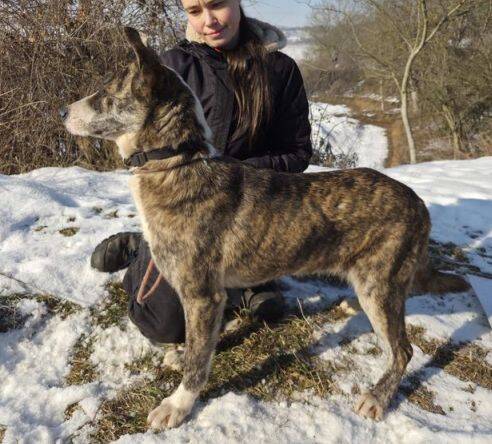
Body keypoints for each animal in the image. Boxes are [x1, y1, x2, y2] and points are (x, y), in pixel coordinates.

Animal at [61, 27, 468, 429]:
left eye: (106, 94)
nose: (62, 111)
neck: (176, 161)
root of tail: (417, 202)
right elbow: (201, 345)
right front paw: (183, 353)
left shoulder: (201, 295)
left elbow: (197, 365)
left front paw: (178, 405)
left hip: (380, 285)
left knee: (403, 350)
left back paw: (377, 397)